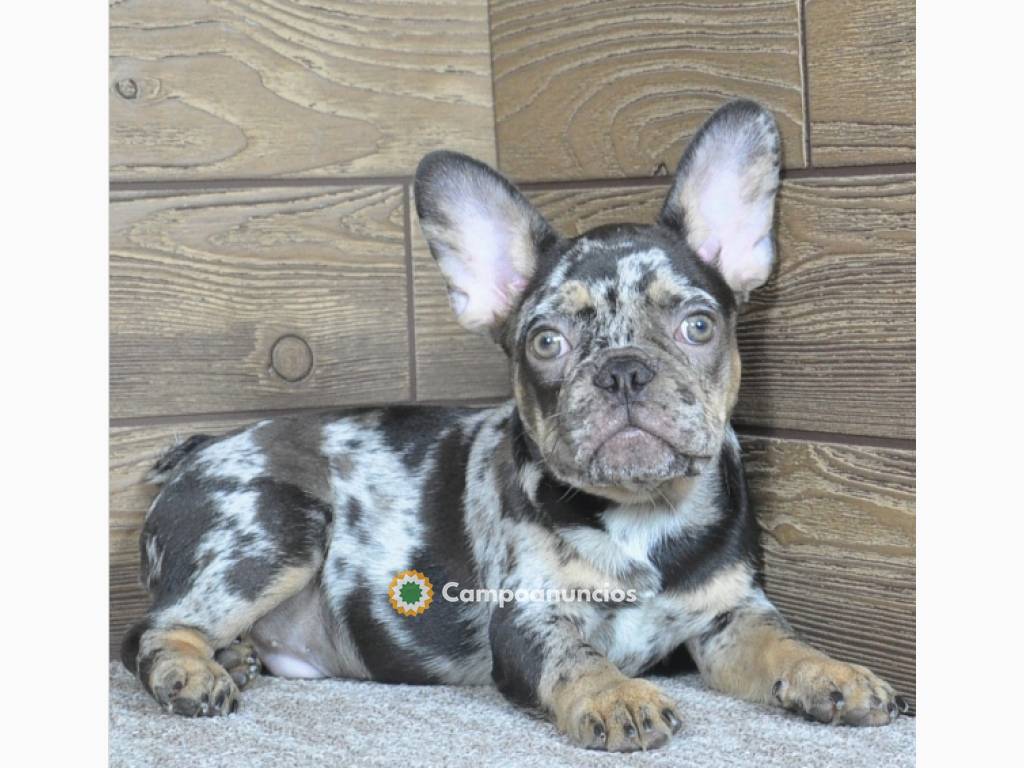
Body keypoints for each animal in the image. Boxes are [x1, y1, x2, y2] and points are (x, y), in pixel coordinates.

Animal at [119, 100, 905, 753]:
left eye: (699, 325)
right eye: (546, 342)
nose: (623, 371)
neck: (644, 512)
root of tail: (203, 450)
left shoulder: (731, 619)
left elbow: (785, 644)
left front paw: (834, 673)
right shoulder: (531, 618)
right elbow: (577, 658)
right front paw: (617, 696)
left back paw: (235, 656)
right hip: (278, 528)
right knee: (151, 631)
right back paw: (193, 673)